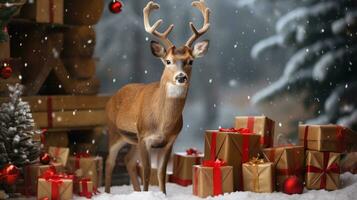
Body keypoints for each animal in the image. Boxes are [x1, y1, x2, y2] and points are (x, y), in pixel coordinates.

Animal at [103, 0, 209, 194]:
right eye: (168, 61)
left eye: (191, 61)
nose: (181, 77)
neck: (162, 123)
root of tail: (112, 97)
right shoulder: (145, 136)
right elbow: (146, 172)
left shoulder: (169, 141)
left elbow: (161, 173)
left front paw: (162, 194)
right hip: (114, 131)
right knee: (110, 161)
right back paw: (107, 192)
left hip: (133, 139)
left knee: (128, 160)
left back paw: (136, 192)